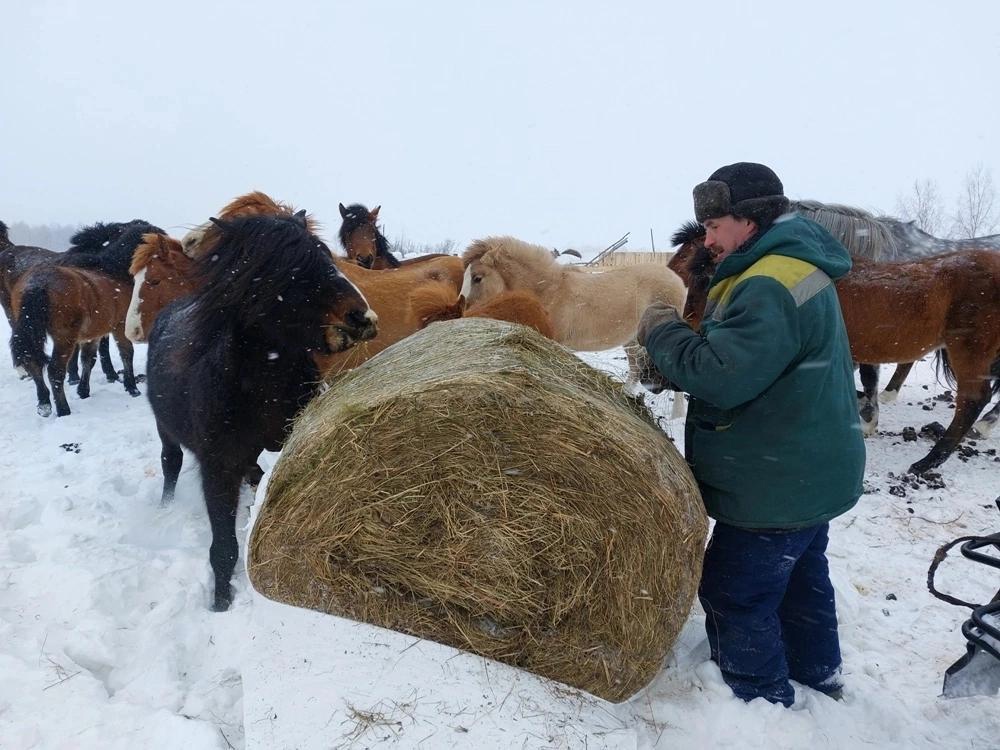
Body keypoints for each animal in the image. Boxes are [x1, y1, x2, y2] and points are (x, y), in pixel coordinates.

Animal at [148, 212, 378, 612]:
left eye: (323, 254)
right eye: (279, 271)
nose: (360, 316)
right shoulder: (218, 469)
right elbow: (223, 548)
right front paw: (220, 603)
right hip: (167, 433)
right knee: (170, 464)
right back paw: (166, 507)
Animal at [668, 220, 1000, 476]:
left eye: (700, 272)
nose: (689, 322)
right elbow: (869, 381)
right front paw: (868, 421)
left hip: (968, 351)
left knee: (973, 400)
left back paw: (929, 461)